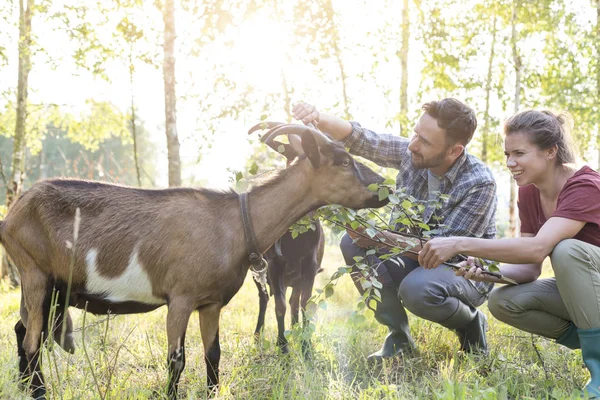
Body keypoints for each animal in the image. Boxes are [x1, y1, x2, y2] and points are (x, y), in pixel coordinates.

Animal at [0, 124, 386, 396]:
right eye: (343, 161)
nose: (383, 188)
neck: (236, 222)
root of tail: (11, 216)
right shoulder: (181, 298)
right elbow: (177, 360)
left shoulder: (210, 303)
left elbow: (212, 356)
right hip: (33, 273)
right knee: (32, 343)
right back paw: (38, 393)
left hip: (51, 287)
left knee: (22, 331)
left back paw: (24, 386)